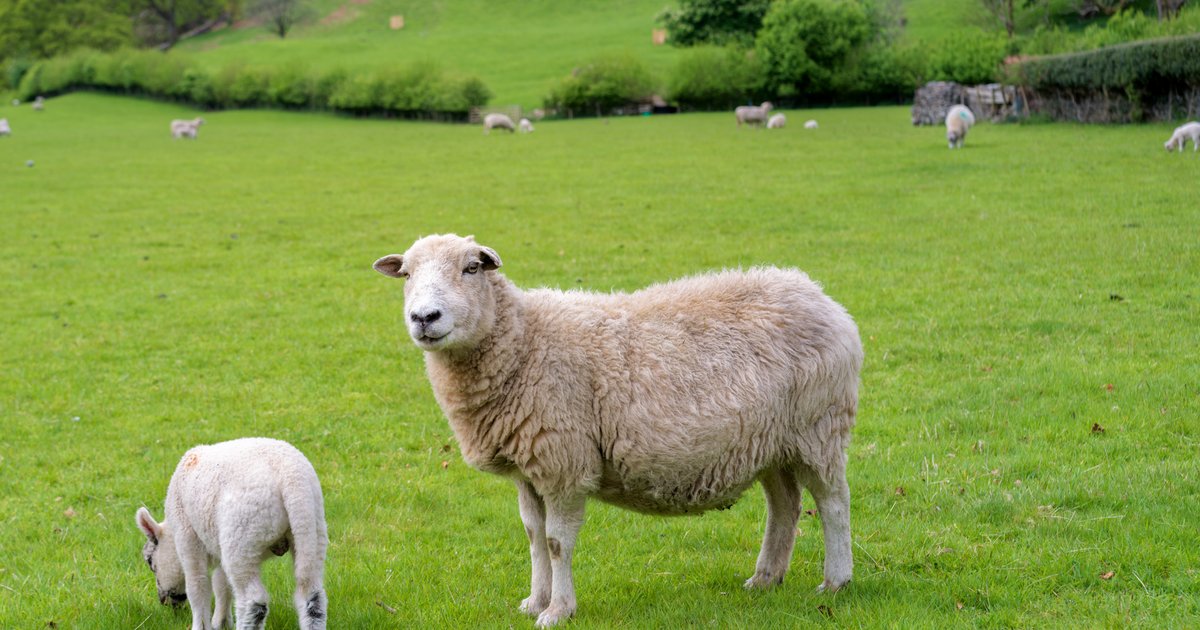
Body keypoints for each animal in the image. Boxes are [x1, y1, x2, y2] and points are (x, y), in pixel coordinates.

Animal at [135, 437, 328, 630]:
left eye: (150, 562)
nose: (164, 601)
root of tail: (291, 478)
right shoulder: (220, 544)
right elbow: (222, 584)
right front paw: (221, 622)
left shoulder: (187, 535)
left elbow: (198, 586)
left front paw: (202, 625)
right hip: (311, 529)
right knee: (311, 593)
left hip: (242, 534)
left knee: (253, 600)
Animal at [373, 234, 862, 628]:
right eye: (407, 274)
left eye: (471, 268)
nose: (424, 317)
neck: (525, 342)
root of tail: (818, 294)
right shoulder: (528, 469)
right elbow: (532, 536)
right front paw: (535, 601)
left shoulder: (564, 464)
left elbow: (555, 542)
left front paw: (558, 611)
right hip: (771, 442)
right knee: (785, 505)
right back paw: (765, 578)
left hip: (819, 426)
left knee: (833, 502)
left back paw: (835, 581)